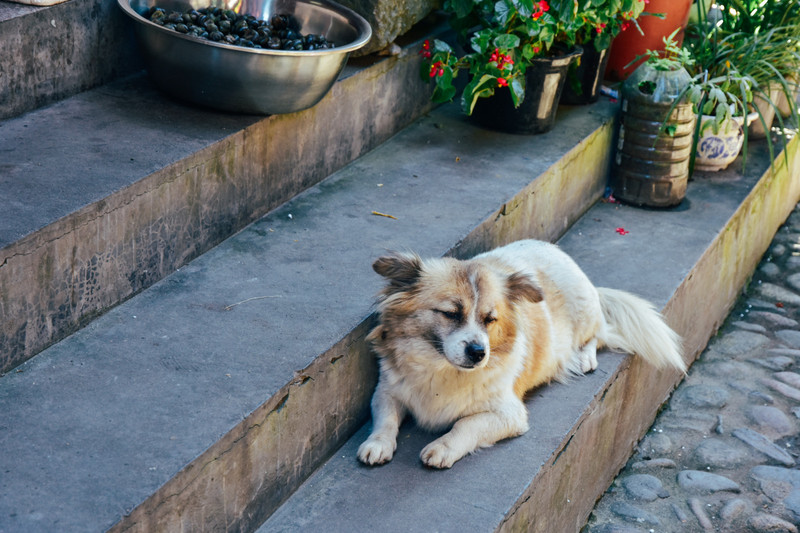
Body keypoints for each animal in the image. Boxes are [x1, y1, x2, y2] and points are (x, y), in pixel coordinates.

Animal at [358, 239, 688, 468]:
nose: (479, 352)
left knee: (599, 334)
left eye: (490, 319)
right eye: (451, 314)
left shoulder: (509, 414)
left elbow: (466, 424)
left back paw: (584, 357)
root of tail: (556, 251)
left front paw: (443, 447)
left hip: (585, 317)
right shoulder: (387, 390)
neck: (440, 369)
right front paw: (377, 444)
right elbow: (385, 419)